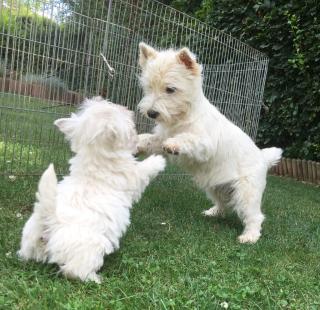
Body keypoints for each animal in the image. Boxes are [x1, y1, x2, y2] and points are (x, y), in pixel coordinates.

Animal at [18, 98, 166, 282]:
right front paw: (159, 160)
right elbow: (144, 169)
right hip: (91, 247)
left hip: (30, 243)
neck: (95, 156)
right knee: (73, 270)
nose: (127, 108)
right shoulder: (133, 177)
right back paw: (94, 278)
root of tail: (48, 221)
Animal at [136, 41, 282, 245]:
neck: (182, 116)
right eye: (148, 87)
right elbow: (150, 140)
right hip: (216, 187)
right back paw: (213, 212)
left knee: (255, 216)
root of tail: (262, 158)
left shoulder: (204, 144)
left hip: (247, 193)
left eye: (170, 89)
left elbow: (187, 139)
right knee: (223, 204)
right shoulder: (160, 137)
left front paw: (174, 145)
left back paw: (249, 236)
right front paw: (137, 143)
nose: (151, 113)